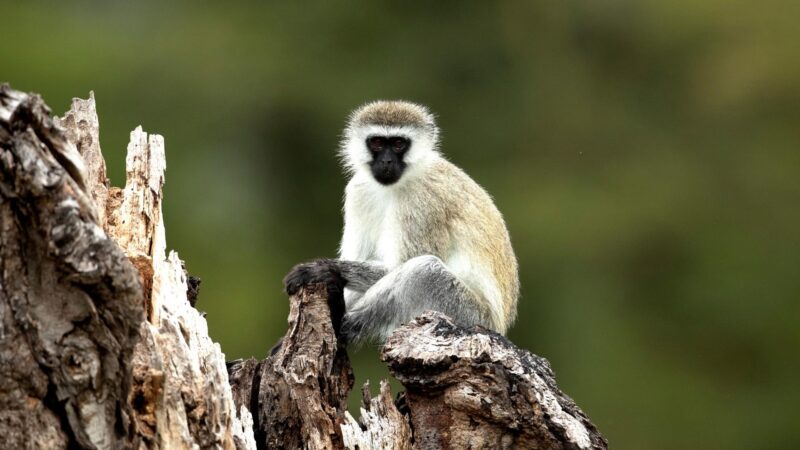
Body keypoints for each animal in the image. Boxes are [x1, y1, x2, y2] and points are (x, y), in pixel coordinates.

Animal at [282, 100, 520, 342]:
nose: (387, 161)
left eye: (398, 144)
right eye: (377, 142)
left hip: (468, 315)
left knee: (424, 270)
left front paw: (325, 269)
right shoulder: (358, 190)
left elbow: (400, 265)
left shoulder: (424, 198)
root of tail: (498, 328)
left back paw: (344, 323)